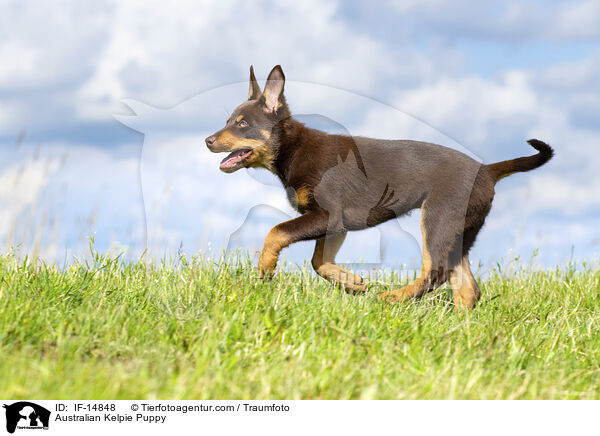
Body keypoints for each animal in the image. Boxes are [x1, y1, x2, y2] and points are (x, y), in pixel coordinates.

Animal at [205, 65, 552, 310]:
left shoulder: (325, 216)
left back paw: (394, 298)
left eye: (242, 123)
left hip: (438, 219)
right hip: (461, 231)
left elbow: (276, 232)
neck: (294, 147)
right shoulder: (334, 225)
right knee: (466, 286)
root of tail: (486, 171)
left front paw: (265, 268)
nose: (207, 140)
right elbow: (319, 262)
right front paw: (351, 282)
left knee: (436, 271)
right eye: (229, 120)